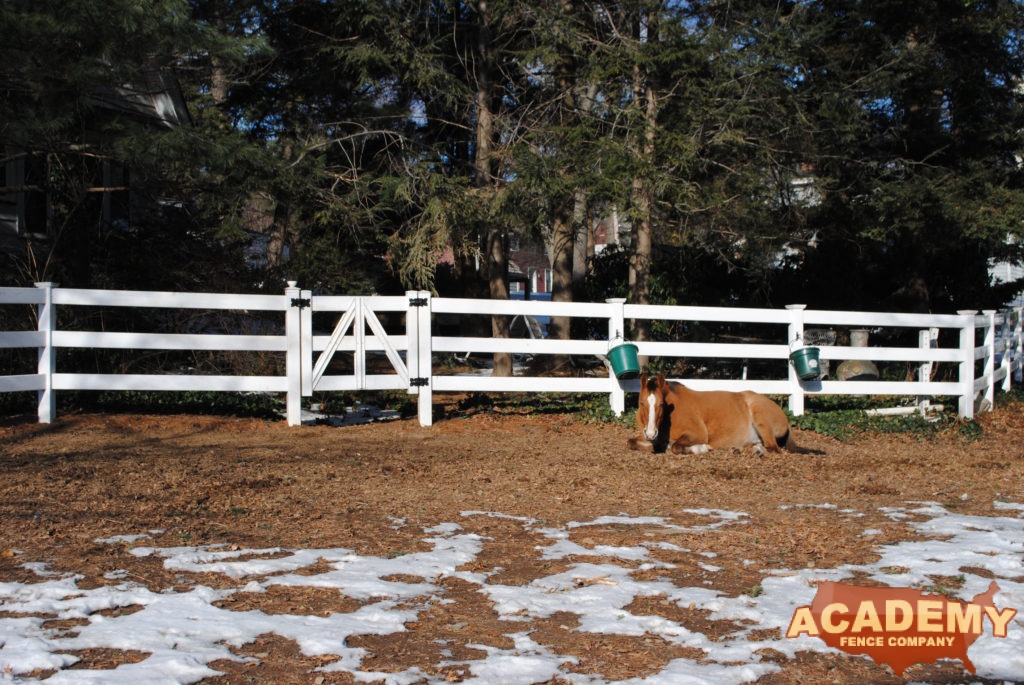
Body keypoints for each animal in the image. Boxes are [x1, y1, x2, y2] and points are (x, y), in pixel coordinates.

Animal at [622, 374, 790, 454]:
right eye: (641, 403)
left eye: (661, 404)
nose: (651, 433)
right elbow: (630, 442)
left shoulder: (697, 434)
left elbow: (675, 446)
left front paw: (701, 448)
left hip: (760, 419)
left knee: (773, 448)